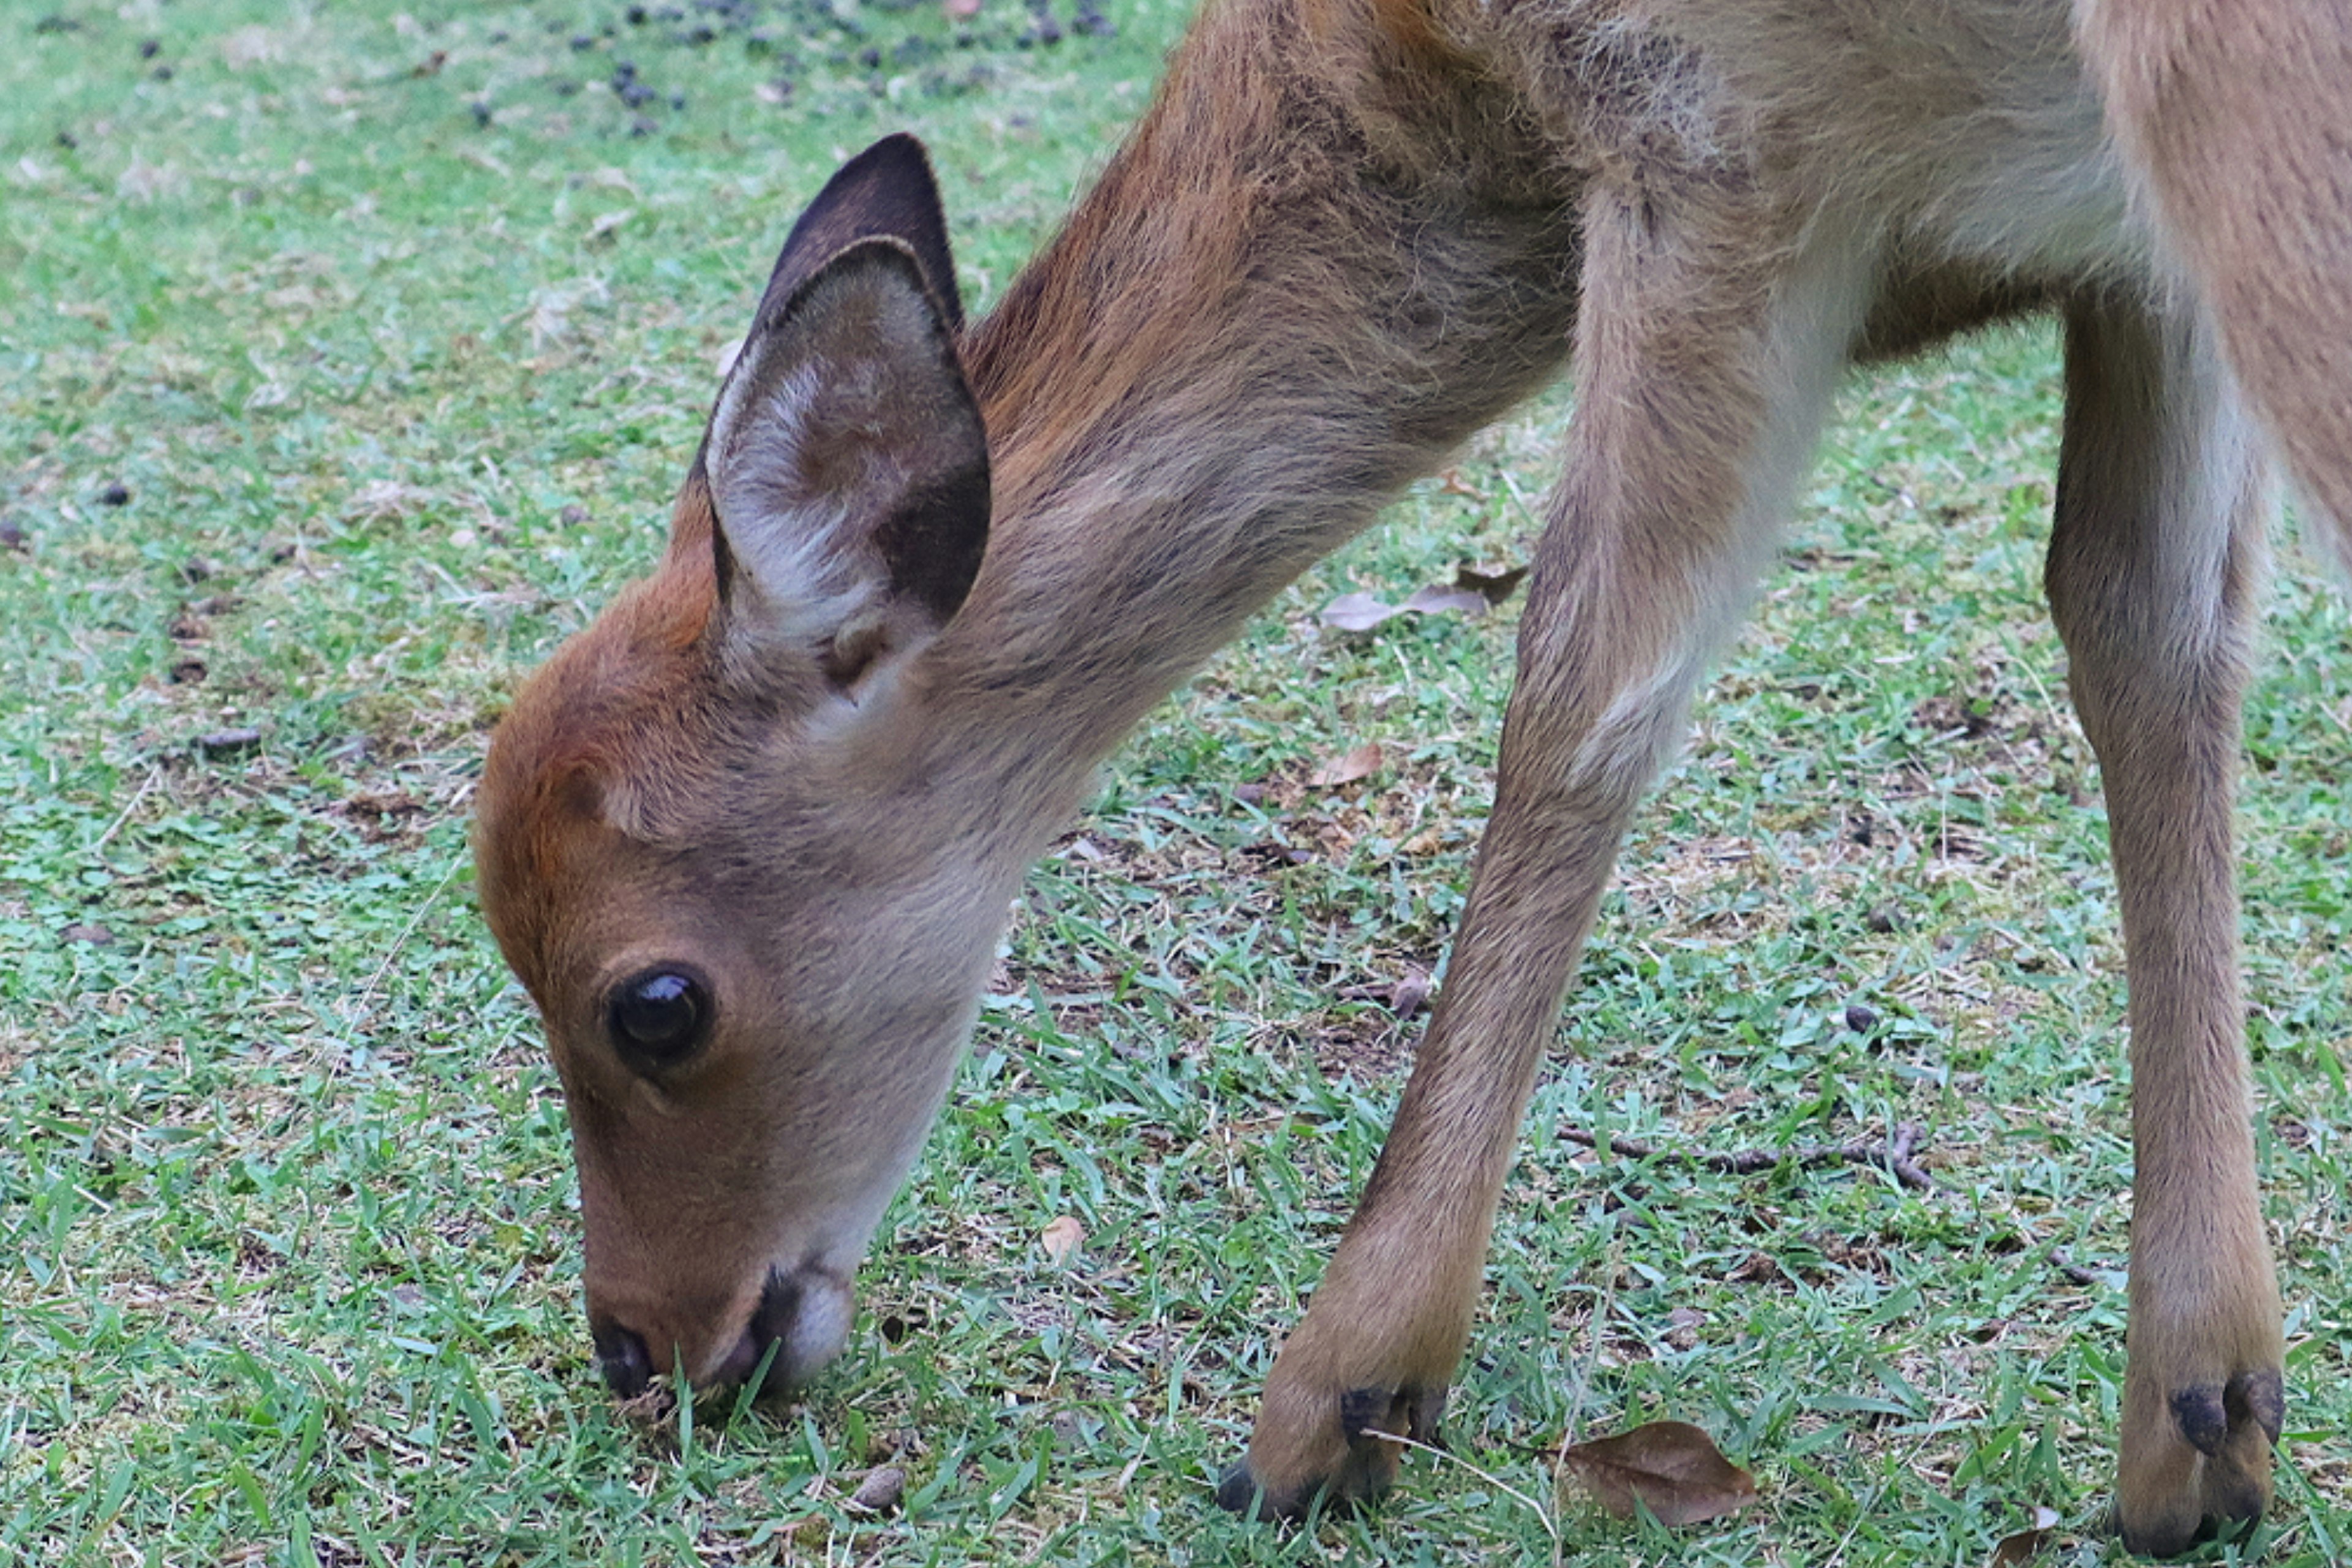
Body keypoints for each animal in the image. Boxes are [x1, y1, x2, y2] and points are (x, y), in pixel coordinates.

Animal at [468, 0, 2342, 1551]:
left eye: (654, 1002)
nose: (644, 1344)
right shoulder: (2121, 260)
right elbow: (2150, 644)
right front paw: (2202, 1424)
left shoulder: (1709, 146)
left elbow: (1580, 690)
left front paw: (1336, 1401)